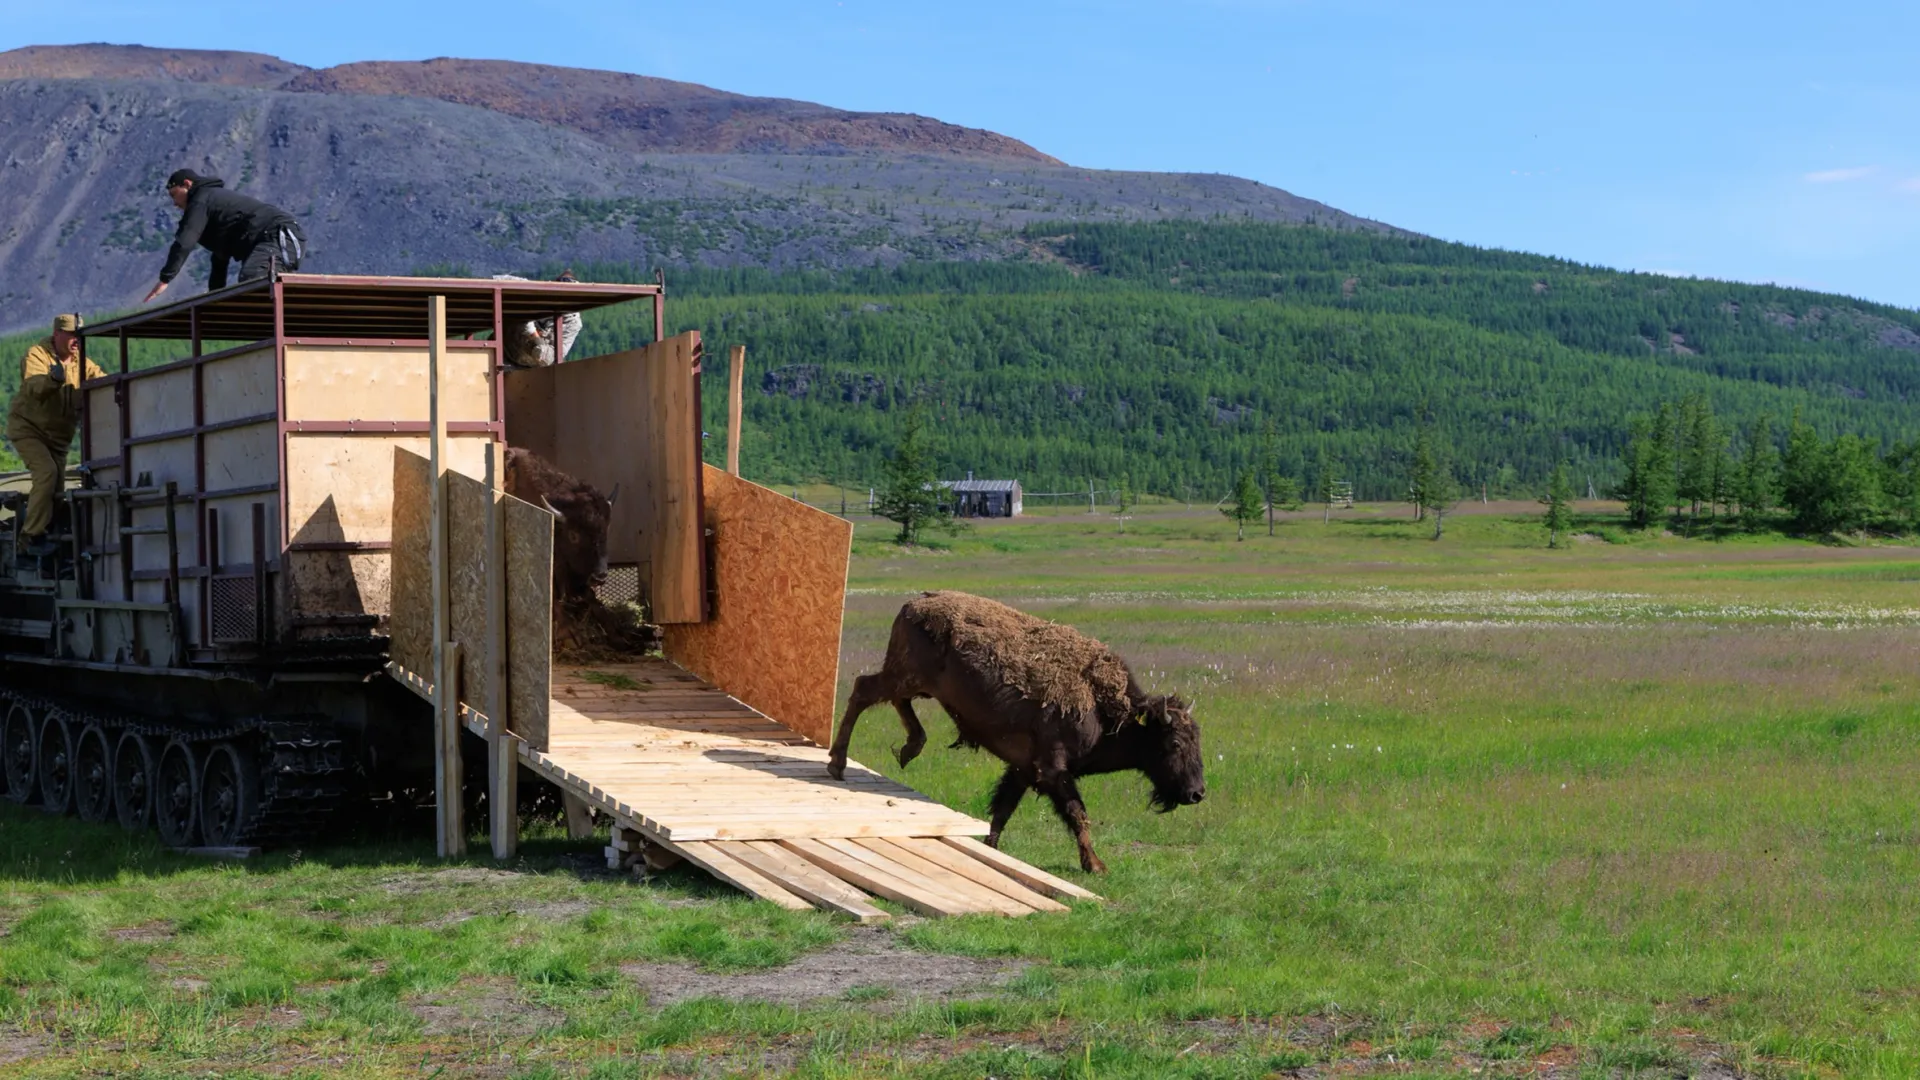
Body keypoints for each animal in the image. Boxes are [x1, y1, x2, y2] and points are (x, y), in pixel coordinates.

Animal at [825, 588, 1198, 864]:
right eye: (1174, 744)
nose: (1197, 793)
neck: (1103, 709)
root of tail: (913, 603)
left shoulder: (1022, 769)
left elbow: (1002, 811)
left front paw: (991, 848)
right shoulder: (1052, 771)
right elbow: (1077, 813)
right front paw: (1095, 865)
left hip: (915, 683)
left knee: (891, 699)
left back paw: (909, 747)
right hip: (905, 676)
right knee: (863, 691)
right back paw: (838, 764)